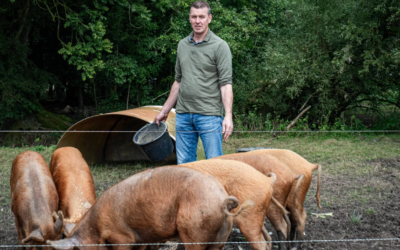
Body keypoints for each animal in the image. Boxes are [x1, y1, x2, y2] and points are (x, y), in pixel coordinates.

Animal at [47, 166, 253, 250]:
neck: (95, 228)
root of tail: (221, 198)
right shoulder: (142, 238)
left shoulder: (123, 237)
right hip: (222, 236)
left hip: (194, 230)